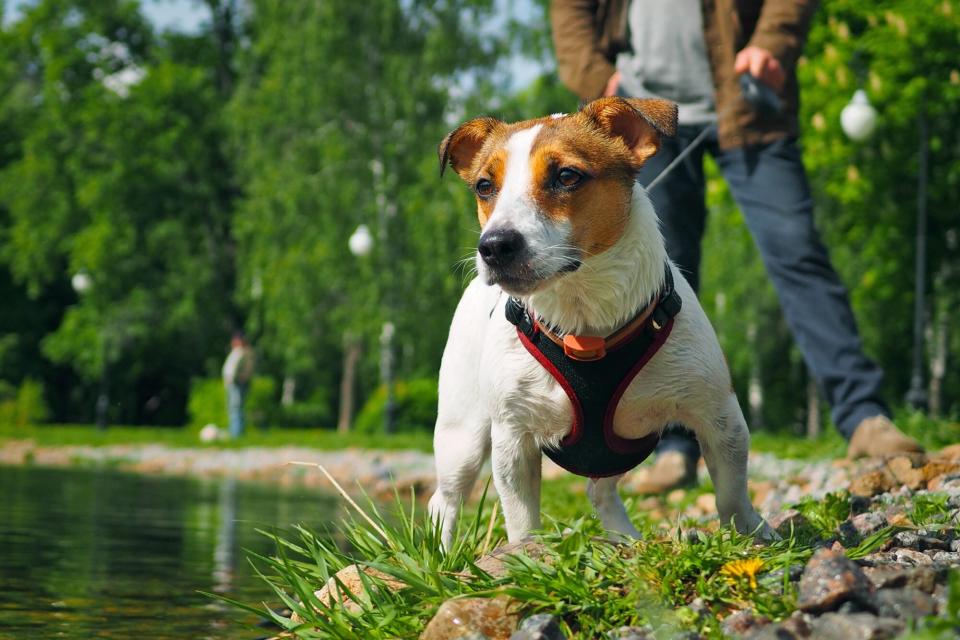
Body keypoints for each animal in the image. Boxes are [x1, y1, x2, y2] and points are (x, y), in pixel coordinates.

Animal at [428, 97, 772, 548]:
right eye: (485, 186)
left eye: (566, 176)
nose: (494, 246)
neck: (584, 319)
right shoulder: (513, 438)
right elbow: (521, 518)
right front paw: (524, 553)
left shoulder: (718, 414)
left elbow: (732, 490)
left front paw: (751, 532)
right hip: (462, 437)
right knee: (445, 500)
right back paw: (441, 554)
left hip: (617, 446)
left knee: (600, 490)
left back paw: (624, 536)